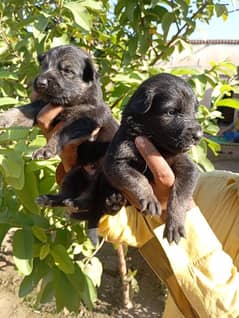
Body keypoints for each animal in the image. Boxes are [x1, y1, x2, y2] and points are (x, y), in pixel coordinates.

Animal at [102, 72, 202, 243]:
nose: (199, 135)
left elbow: (180, 195)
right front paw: (149, 199)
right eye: (171, 112)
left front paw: (175, 224)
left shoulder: (188, 167)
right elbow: (138, 178)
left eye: (193, 112)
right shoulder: (116, 162)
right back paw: (113, 202)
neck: (156, 143)